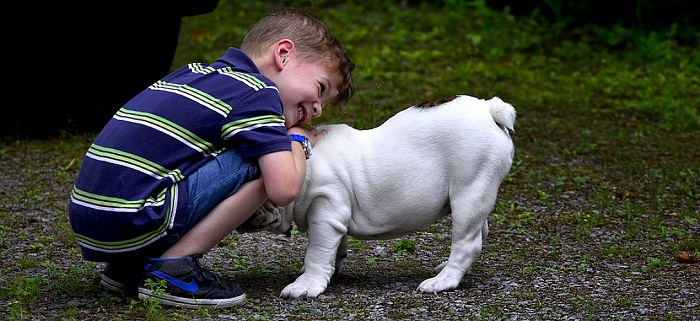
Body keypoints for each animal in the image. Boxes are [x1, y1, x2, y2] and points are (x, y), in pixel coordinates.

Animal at [238, 94, 516, 298]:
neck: (303, 163)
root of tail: (488, 109)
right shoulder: (334, 219)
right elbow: (335, 247)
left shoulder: (325, 212)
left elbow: (317, 252)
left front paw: (306, 284)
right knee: (480, 231)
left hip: (469, 190)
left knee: (467, 242)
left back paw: (443, 281)